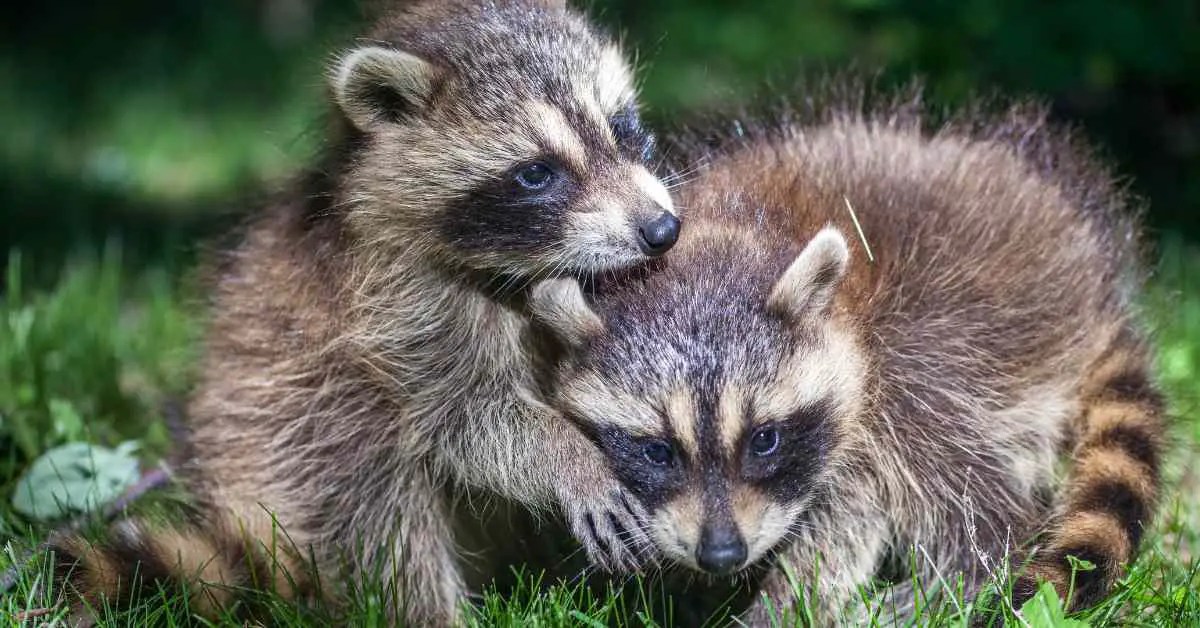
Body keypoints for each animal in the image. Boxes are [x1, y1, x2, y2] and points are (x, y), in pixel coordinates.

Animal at [51, 0, 675, 624]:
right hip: (286, 437)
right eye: (536, 173)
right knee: (374, 498)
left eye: (623, 127)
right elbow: (463, 416)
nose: (662, 230)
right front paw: (571, 459)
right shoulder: (394, 306)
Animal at [530, 98, 1164, 623]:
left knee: (954, 466)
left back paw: (970, 567)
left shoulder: (868, 376)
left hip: (969, 326)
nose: (723, 555)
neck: (726, 237)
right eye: (656, 451)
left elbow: (852, 513)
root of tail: (1099, 290)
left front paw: (784, 604)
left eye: (765, 439)